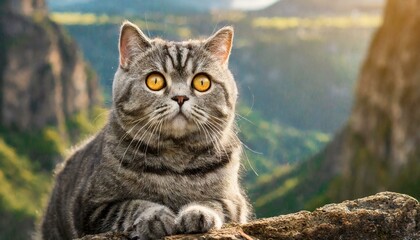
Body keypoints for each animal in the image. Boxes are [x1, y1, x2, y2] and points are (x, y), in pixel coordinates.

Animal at [39, 21, 251, 240]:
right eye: (155, 81)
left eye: (202, 82)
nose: (180, 97)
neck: (176, 160)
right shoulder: (93, 208)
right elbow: (130, 205)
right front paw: (155, 217)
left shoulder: (236, 201)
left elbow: (216, 203)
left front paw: (198, 212)